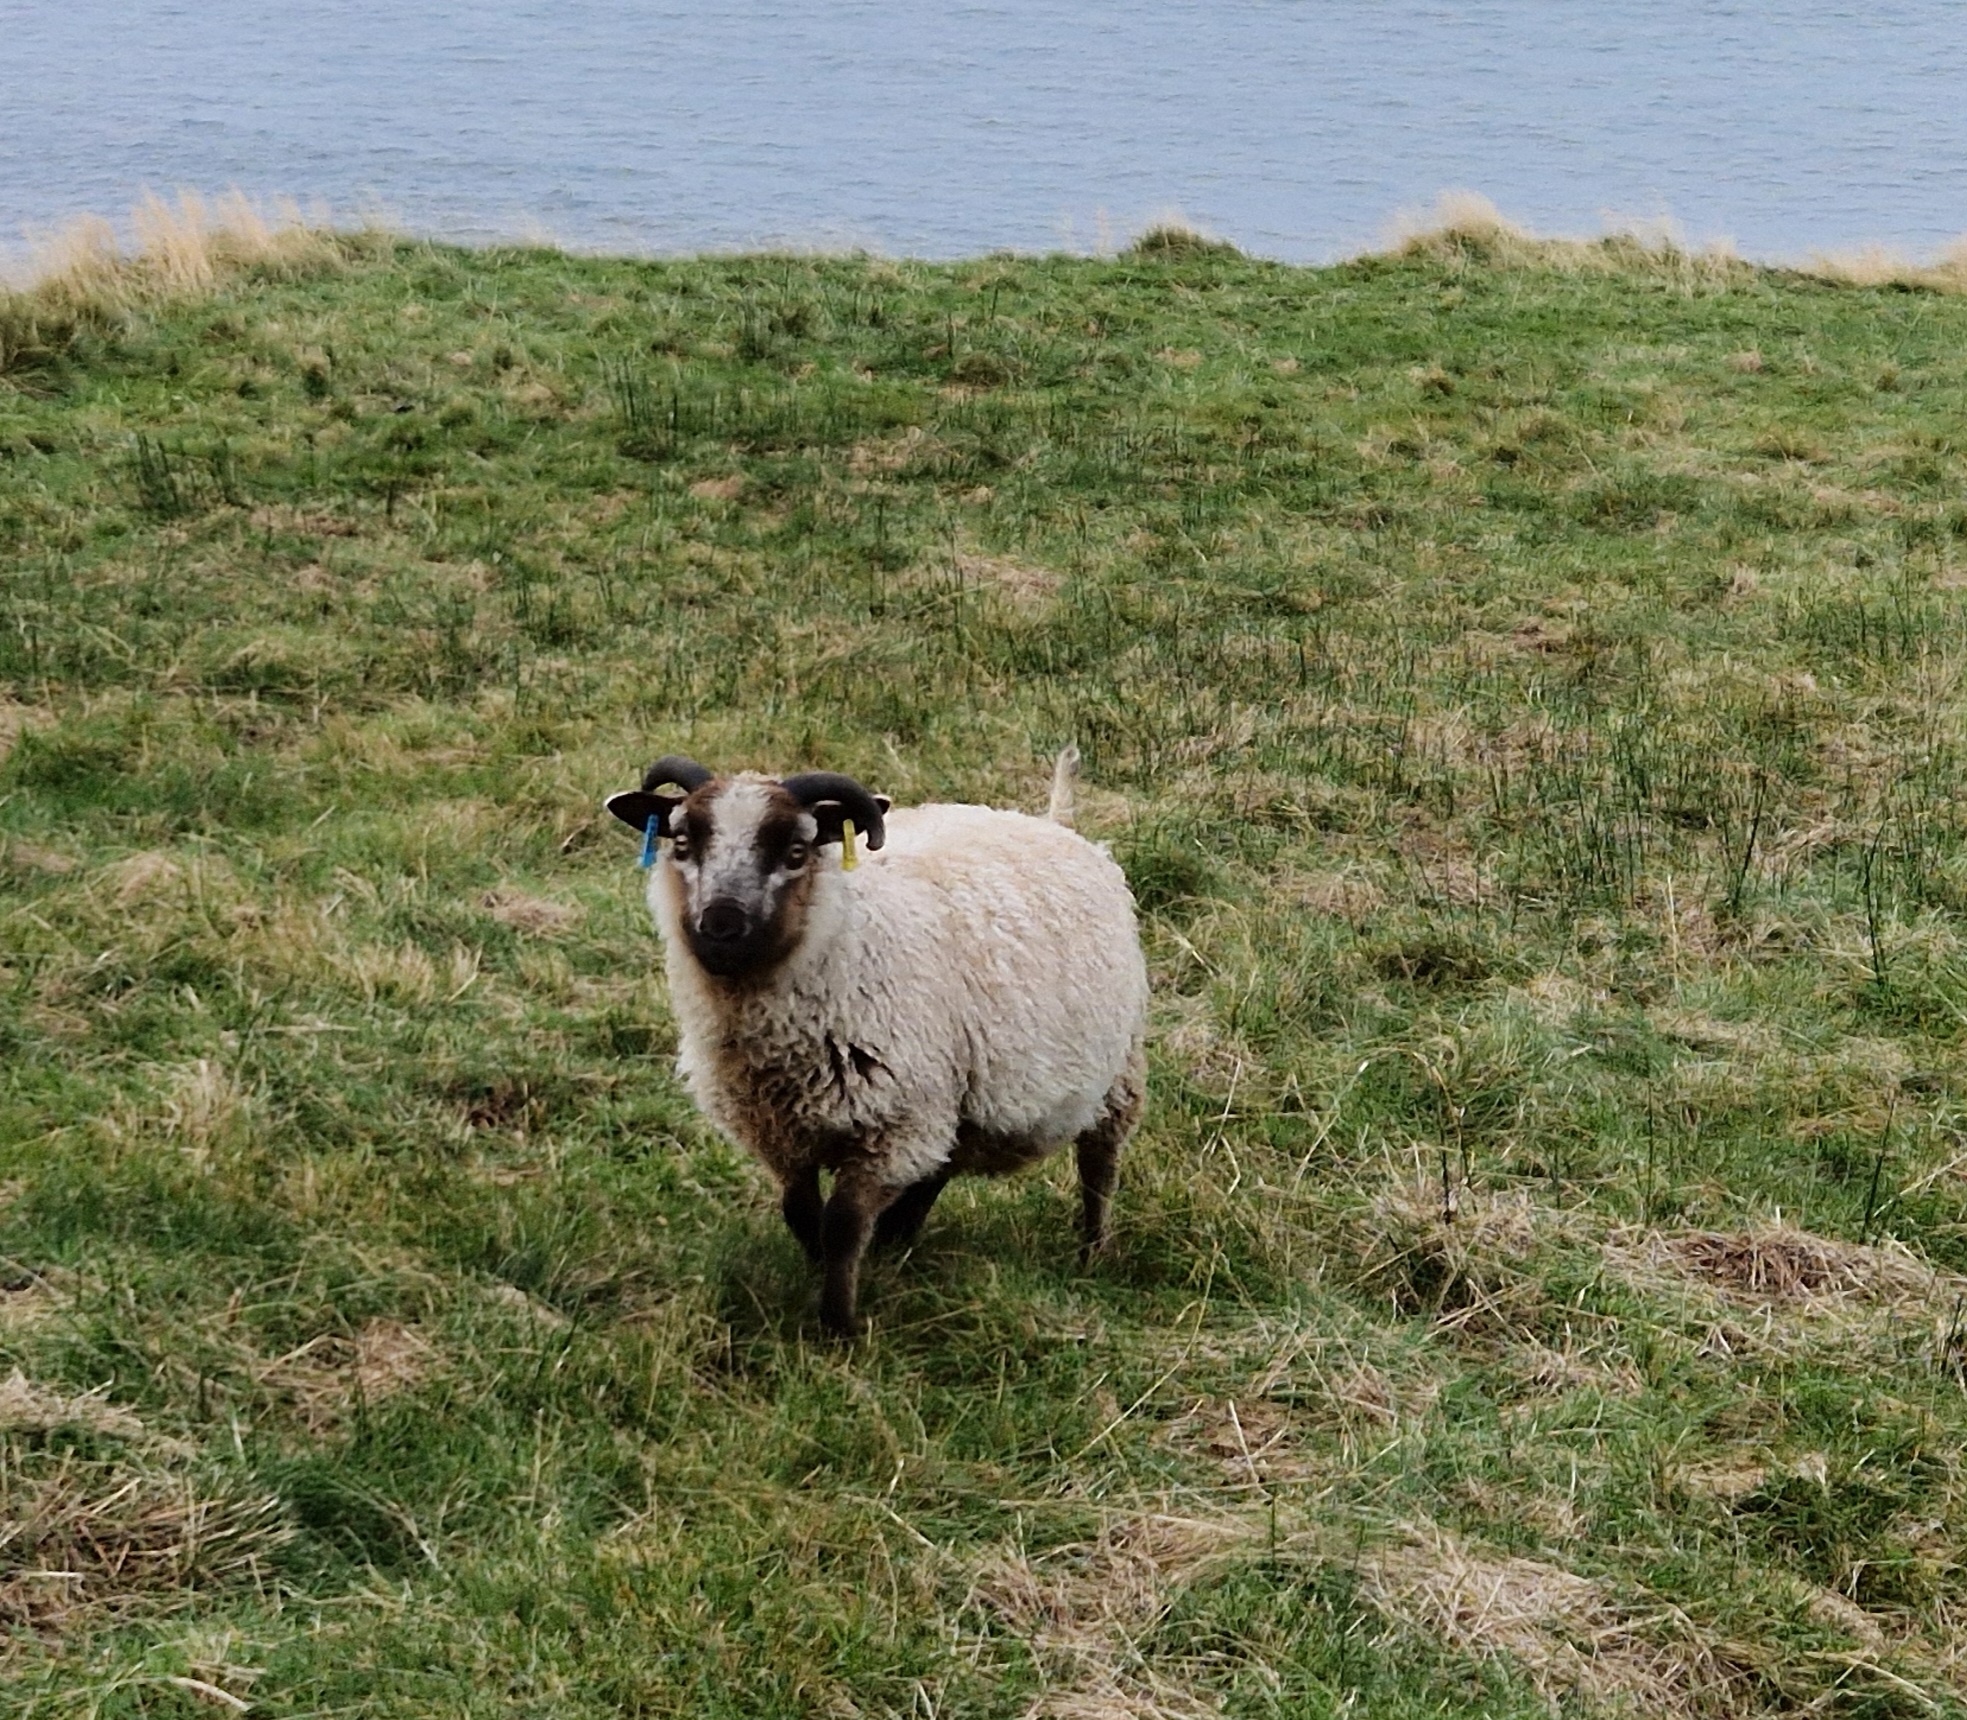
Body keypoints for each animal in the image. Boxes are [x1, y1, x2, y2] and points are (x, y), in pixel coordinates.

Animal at [605, 743, 1148, 1330]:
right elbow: (799, 1212)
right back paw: (895, 1240)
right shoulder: (782, 1132)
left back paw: (1092, 1251)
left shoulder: (889, 1127)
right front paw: (820, 1268)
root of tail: (1053, 822)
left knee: (1099, 1166)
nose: (721, 925)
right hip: (952, 1098)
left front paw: (838, 1325)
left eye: (796, 851)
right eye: (681, 842)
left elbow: (842, 1224)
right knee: (939, 1167)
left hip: (1117, 1073)